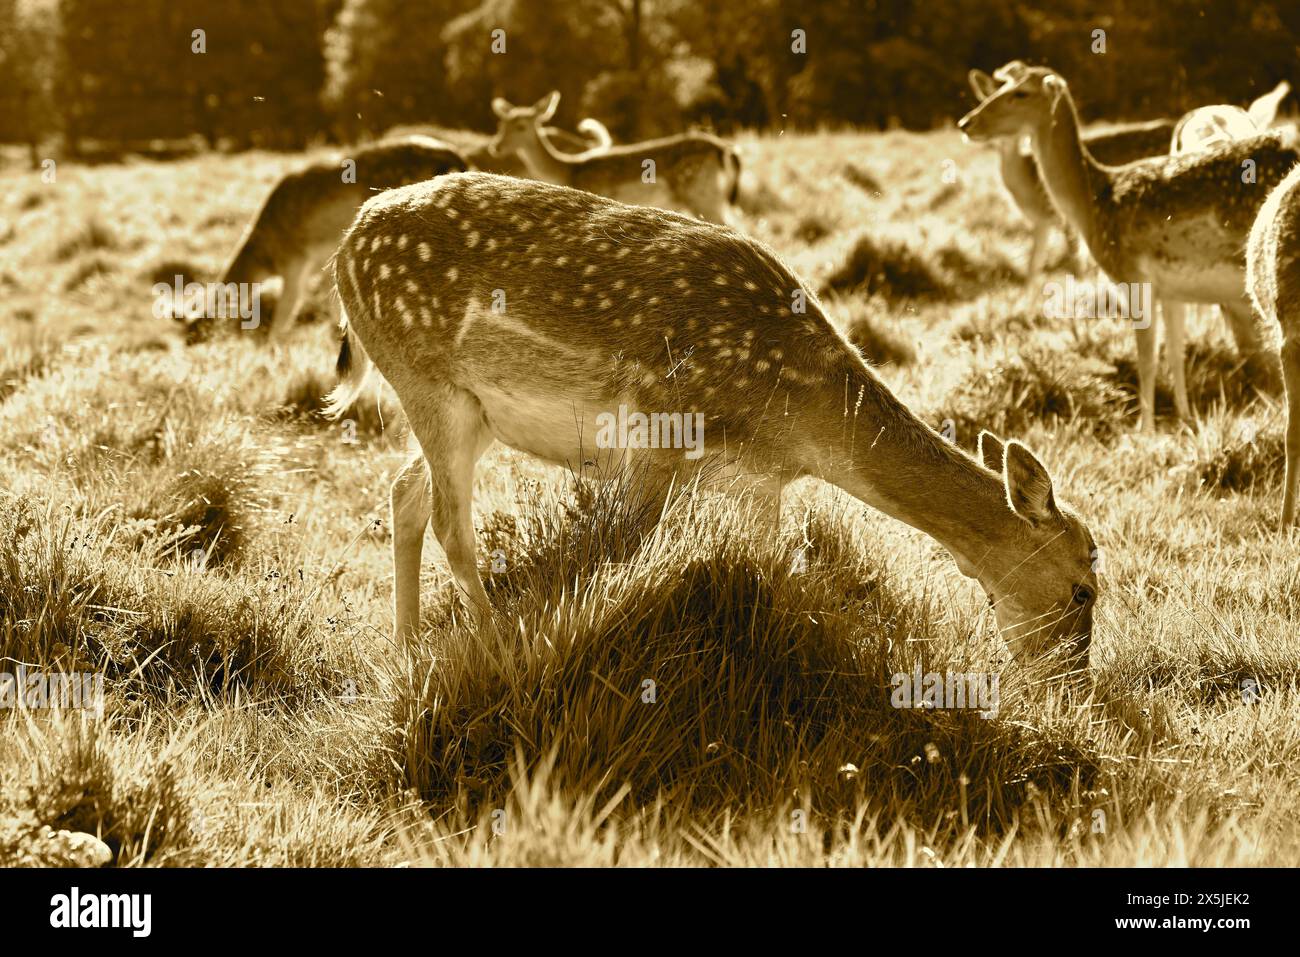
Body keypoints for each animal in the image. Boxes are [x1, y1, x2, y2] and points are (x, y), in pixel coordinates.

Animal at [198, 136, 467, 341]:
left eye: (203, 325)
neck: (267, 254)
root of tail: (456, 156)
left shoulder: (296, 264)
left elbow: (284, 317)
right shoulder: (323, 264)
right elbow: (333, 307)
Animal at [324, 171, 1100, 676]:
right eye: (1083, 587)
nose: (1069, 686)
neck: (798, 421)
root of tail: (345, 244)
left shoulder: (755, 482)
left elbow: (767, 569)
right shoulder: (657, 429)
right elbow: (617, 551)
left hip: (470, 409)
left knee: (404, 492)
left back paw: (405, 646)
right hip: (426, 377)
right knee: (451, 520)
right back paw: (488, 644)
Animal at [488, 92, 741, 225]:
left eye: (521, 126)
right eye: (501, 124)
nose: (496, 147)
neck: (569, 170)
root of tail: (724, 150)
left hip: (701, 191)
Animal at [968, 66, 1175, 285]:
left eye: (1021, 93)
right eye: (986, 96)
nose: (967, 122)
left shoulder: (1060, 220)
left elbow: (1075, 265)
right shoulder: (1041, 223)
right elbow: (1033, 268)